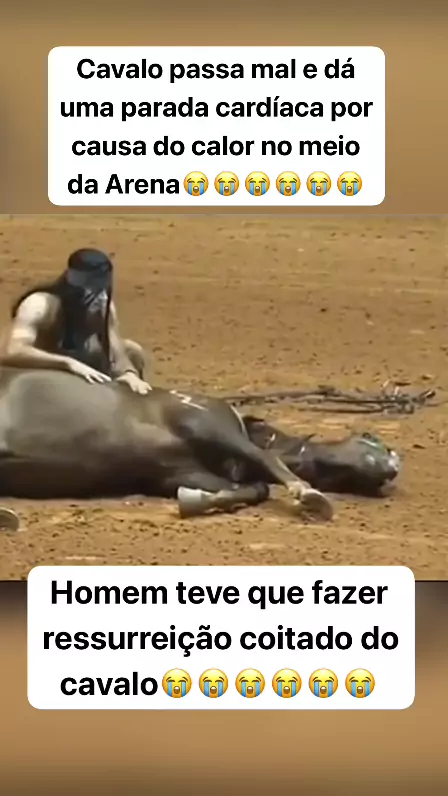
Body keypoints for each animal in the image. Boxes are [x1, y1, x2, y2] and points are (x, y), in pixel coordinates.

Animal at [0, 367, 400, 523]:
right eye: (369, 438)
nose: (393, 465)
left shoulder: (178, 473)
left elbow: (252, 488)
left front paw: (195, 502)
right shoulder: (209, 423)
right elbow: (266, 460)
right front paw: (309, 495)